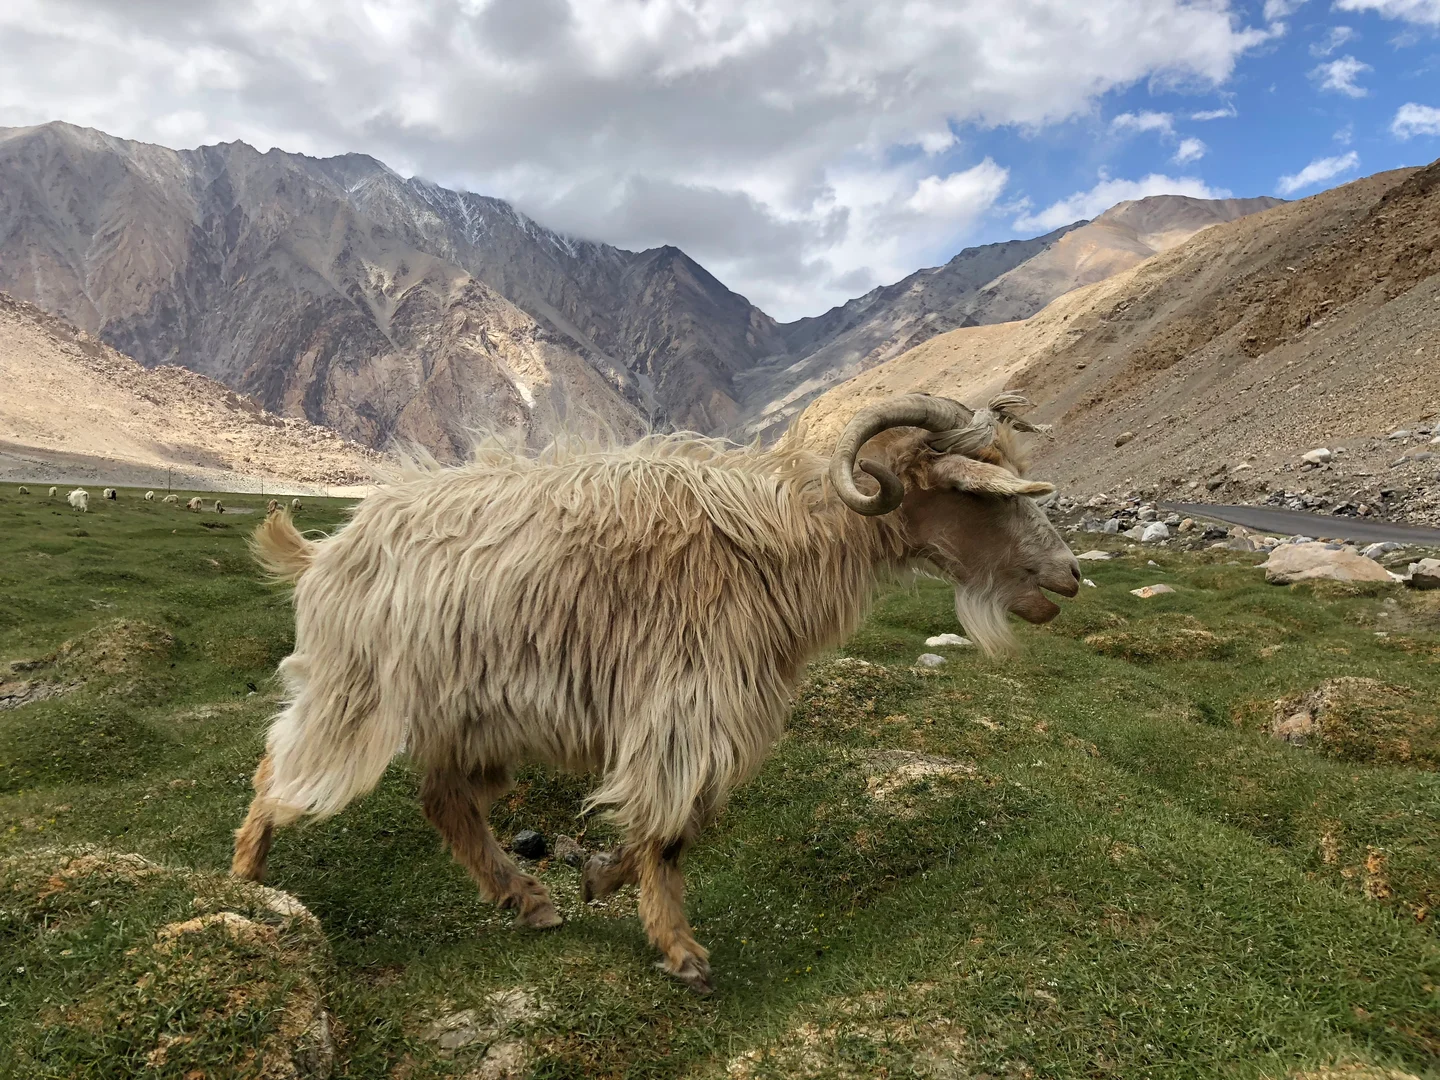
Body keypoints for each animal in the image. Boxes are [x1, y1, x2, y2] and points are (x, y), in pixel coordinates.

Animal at [232, 394, 1079, 994]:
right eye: (990, 494)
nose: (1069, 576)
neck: (777, 543)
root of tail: (326, 551)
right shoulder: (685, 703)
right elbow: (673, 828)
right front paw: (679, 949)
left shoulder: (701, 712)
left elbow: (680, 821)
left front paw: (602, 875)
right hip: (356, 693)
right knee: (281, 771)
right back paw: (246, 880)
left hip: (467, 720)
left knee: (443, 800)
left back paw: (526, 899)